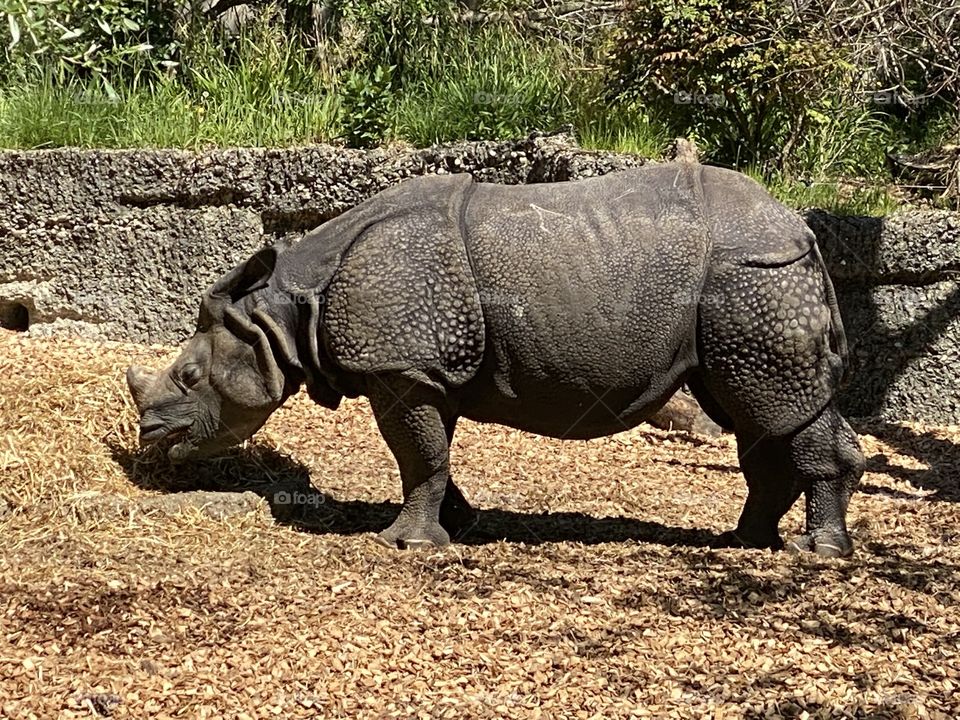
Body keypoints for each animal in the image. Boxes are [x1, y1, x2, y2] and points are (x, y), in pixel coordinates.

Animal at [127, 161, 864, 557]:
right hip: (746, 287)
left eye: (189, 379)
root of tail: (799, 225)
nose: (148, 438)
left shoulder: (401, 367)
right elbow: (431, 454)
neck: (286, 309)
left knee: (771, 406)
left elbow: (417, 454)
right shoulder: (427, 367)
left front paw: (403, 545)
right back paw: (746, 541)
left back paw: (816, 552)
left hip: (753, 277)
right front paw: (457, 524)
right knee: (756, 414)